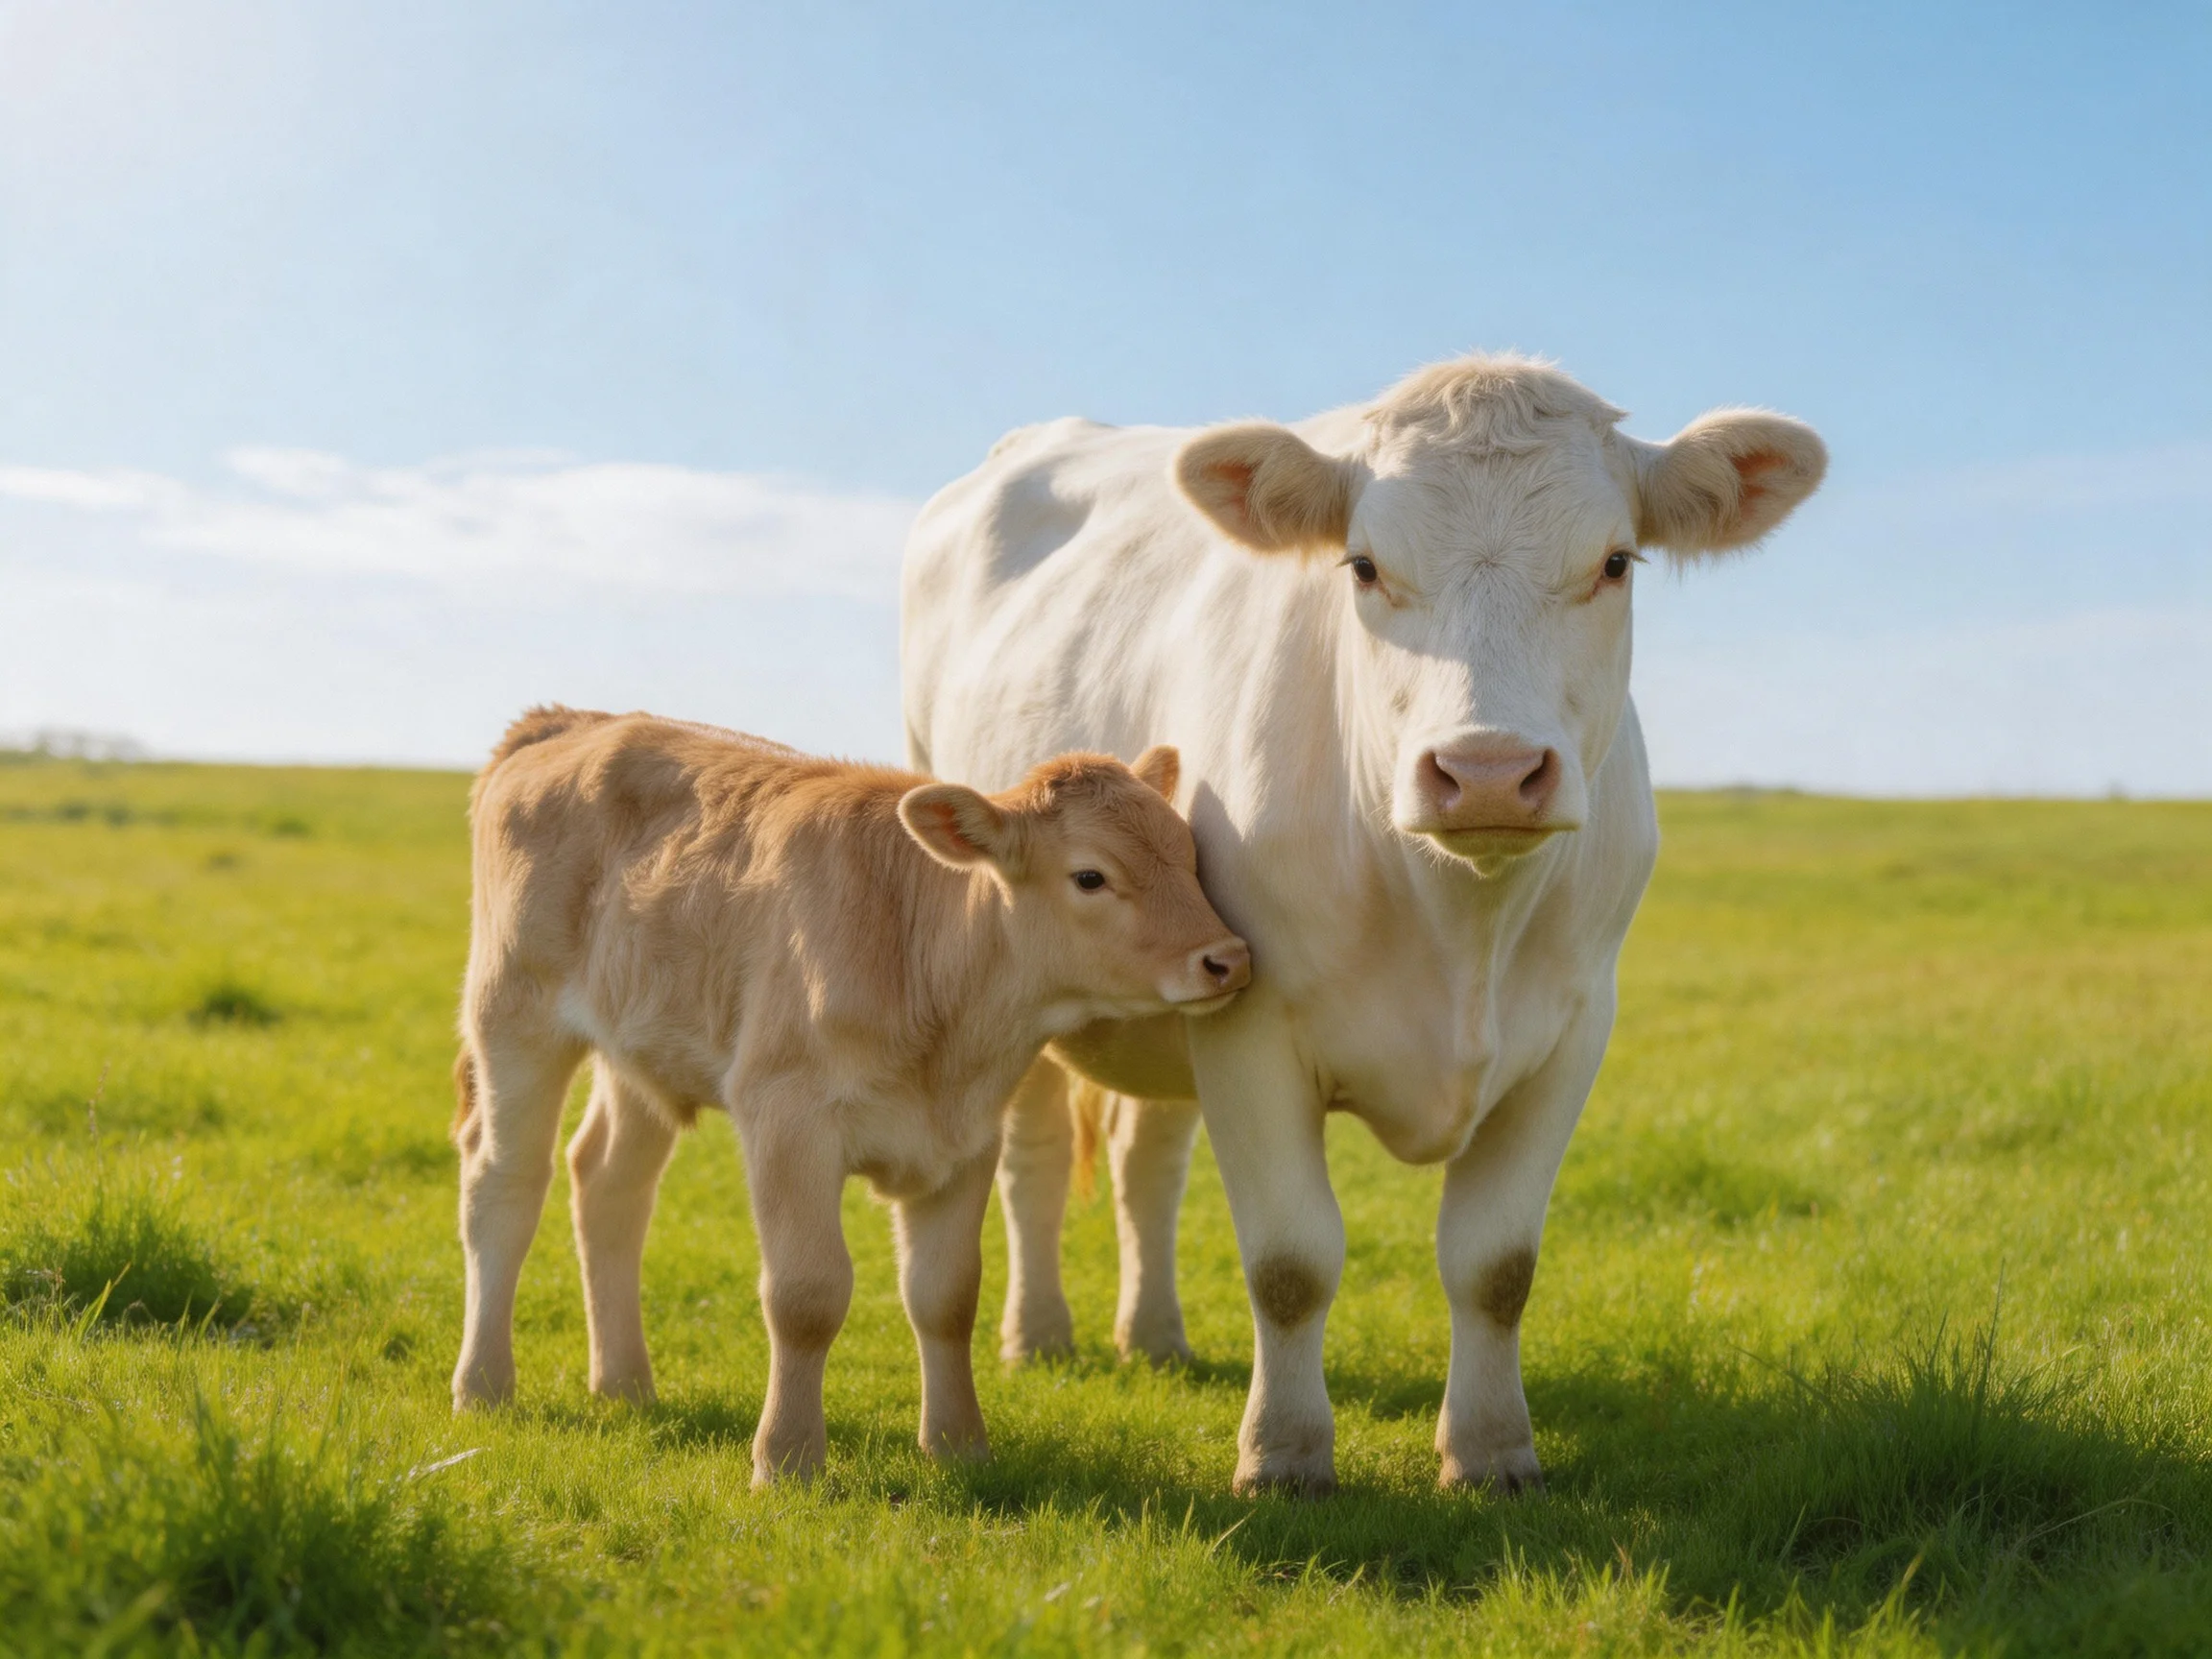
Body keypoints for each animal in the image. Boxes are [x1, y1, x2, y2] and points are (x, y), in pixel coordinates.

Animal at [448, 706, 1249, 1485]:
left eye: (1189, 853)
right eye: (1090, 877)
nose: (1228, 958)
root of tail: (568, 721)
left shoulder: (967, 1139)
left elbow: (947, 1296)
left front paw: (959, 1446)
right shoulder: (786, 1120)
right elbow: (807, 1295)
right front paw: (787, 1458)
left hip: (642, 1052)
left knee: (609, 1184)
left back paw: (624, 1384)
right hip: (514, 1018)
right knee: (505, 1187)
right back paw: (484, 1386)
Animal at [901, 354, 1826, 1495]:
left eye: (1615, 562)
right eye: (1364, 566)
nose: (1487, 770)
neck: (1458, 921)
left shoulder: (1572, 1033)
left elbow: (1496, 1265)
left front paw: (1491, 1452)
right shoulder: (1250, 1025)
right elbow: (1290, 1263)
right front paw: (1285, 1456)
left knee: (1145, 1155)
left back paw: (1154, 1337)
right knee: (1032, 1156)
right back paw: (1039, 1335)